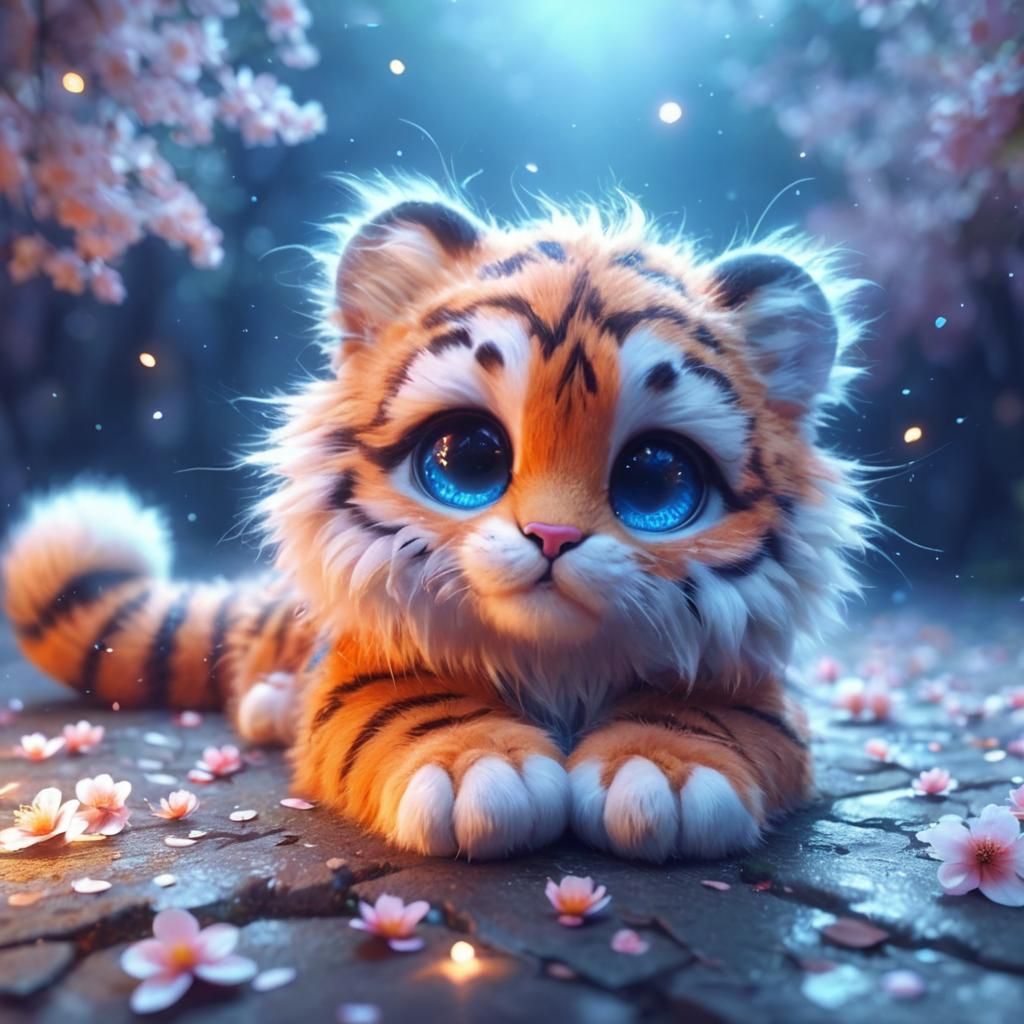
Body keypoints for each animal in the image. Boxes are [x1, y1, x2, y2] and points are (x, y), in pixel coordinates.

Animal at [2, 177, 870, 862]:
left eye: (655, 479)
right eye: (470, 459)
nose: (553, 538)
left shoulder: (751, 674)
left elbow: (717, 710)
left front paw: (663, 768)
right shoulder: (366, 657)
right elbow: (404, 701)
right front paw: (478, 768)